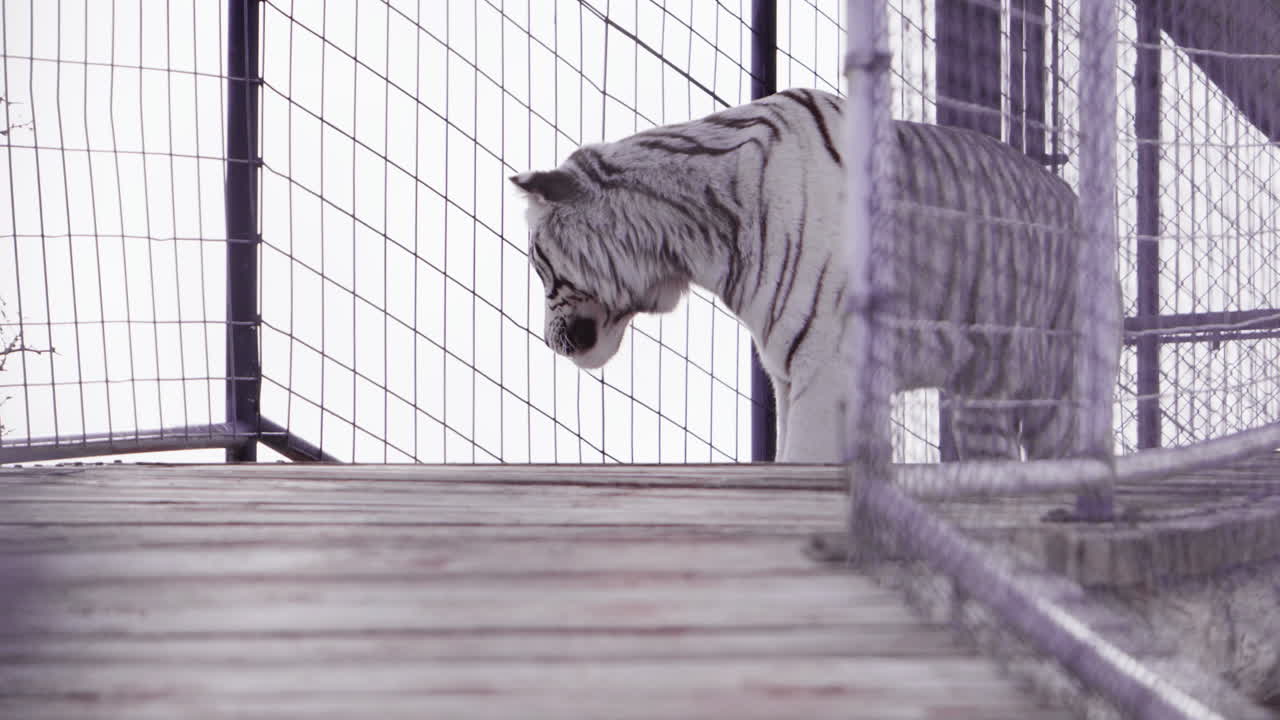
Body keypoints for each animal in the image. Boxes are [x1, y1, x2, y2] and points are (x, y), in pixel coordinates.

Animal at [511, 87, 1113, 464]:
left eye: (537, 261)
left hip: (1056, 383)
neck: (699, 232)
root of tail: (1070, 194)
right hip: (979, 393)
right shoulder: (786, 369)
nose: (547, 341)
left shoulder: (825, 364)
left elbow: (801, 459)